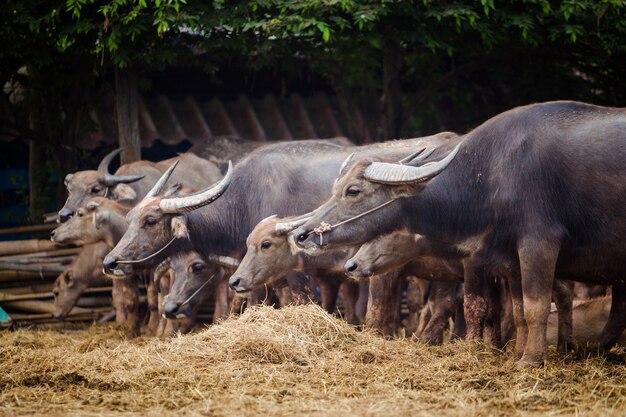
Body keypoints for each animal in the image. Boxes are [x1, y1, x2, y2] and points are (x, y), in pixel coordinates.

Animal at [294, 101, 624, 368]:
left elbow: (529, 307)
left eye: (353, 191)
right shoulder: (509, 262)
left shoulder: (537, 244)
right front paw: (514, 354)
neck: (489, 177)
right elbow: (517, 311)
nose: (301, 234)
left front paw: (528, 360)